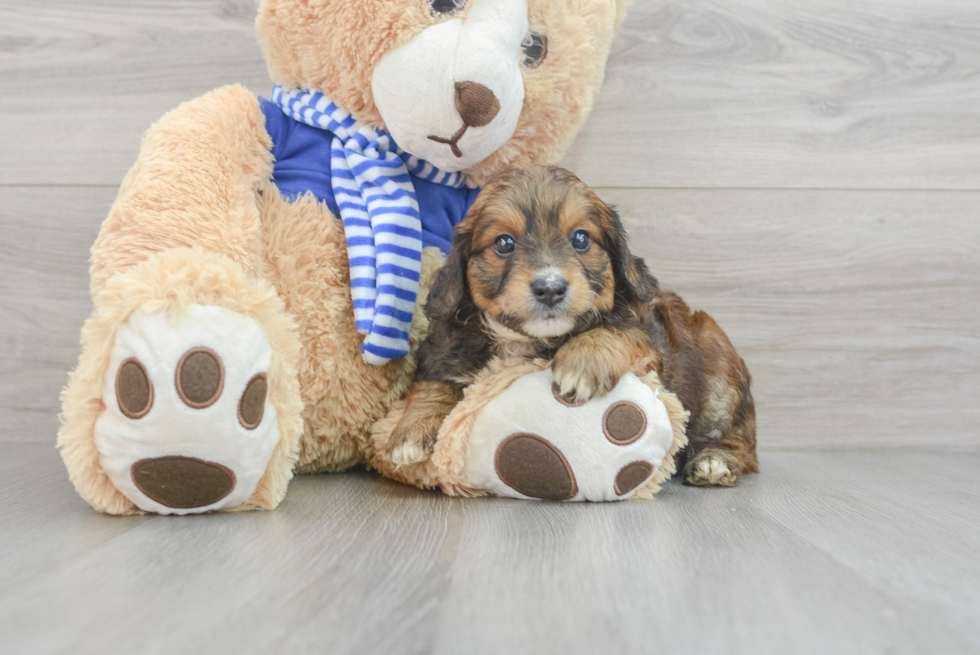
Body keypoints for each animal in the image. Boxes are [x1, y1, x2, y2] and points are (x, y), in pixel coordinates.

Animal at [386, 168, 756, 486]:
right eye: (504, 243)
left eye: (580, 239)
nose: (550, 288)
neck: (523, 339)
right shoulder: (443, 347)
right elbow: (433, 382)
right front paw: (410, 432)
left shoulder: (647, 335)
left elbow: (615, 332)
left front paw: (582, 362)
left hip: (719, 372)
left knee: (739, 443)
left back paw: (714, 461)